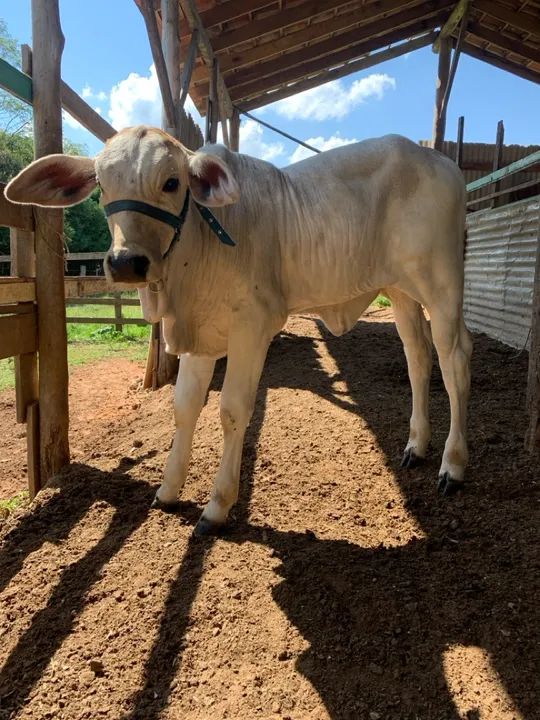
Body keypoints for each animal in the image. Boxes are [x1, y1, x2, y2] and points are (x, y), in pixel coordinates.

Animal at [5, 126, 472, 535]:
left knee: (455, 361)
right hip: (401, 292)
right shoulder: (198, 339)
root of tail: (438, 159)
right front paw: (168, 489)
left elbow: (232, 410)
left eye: (172, 182)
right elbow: (185, 406)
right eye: (102, 184)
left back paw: (453, 465)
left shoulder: (252, 326)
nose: (125, 262)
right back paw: (416, 446)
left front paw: (216, 507)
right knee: (418, 358)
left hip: (442, 286)